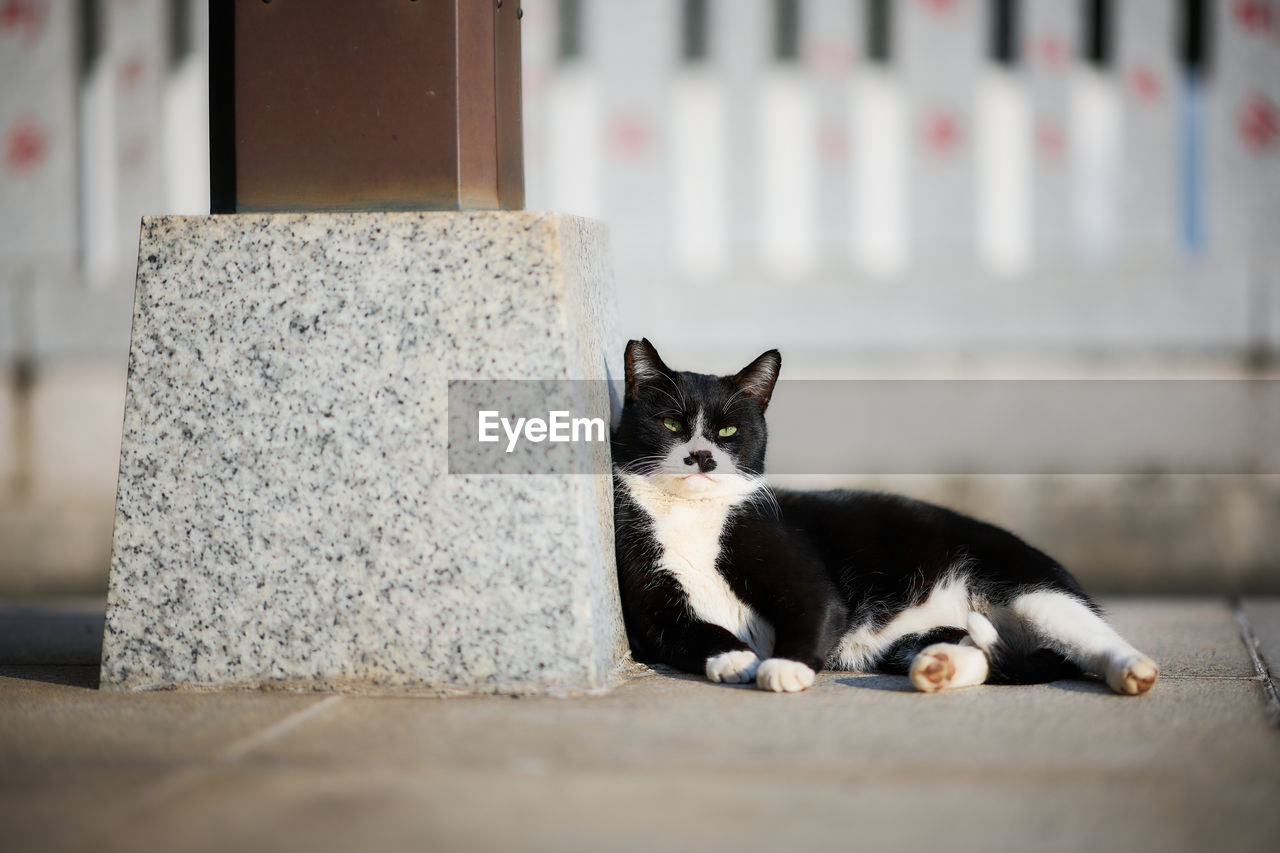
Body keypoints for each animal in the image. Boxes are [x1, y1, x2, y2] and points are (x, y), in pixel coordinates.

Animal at [609, 338, 1162, 691]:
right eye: (672, 423)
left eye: (727, 431)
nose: (701, 456)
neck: (691, 516)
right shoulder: (652, 607)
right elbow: (690, 632)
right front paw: (734, 657)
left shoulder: (795, 564)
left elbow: (815, 607)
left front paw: (784, 668)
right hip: (917, 635)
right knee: (979, 652)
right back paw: (938, 667)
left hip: (1026, 584)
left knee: (1086, 633)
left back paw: (1133, 670)